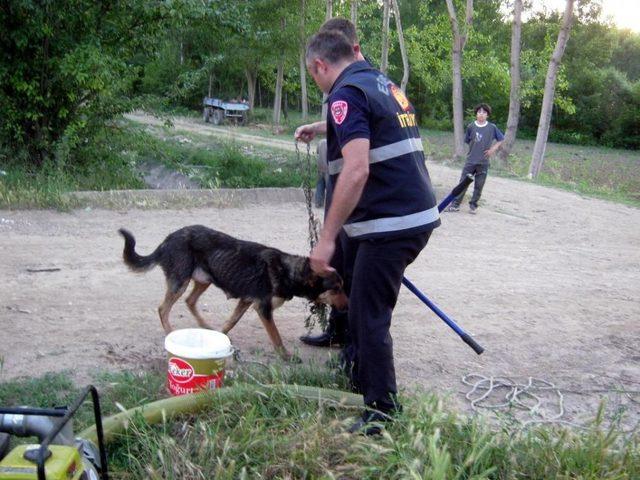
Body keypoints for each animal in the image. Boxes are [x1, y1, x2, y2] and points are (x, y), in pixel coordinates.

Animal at [117, 226, 348, 360]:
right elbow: (276, 336)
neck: (289, 271)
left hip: (204, 280)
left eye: (342, 287)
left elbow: (231, 322)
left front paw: (220, 336)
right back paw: (169, 332)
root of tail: (167, 239)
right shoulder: (262, 307)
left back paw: (206, 327)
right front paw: (285, 356)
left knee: (190, 301)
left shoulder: (246, 301)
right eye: (336, 289)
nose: (348, 308)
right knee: (163, 308)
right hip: (181, 282)